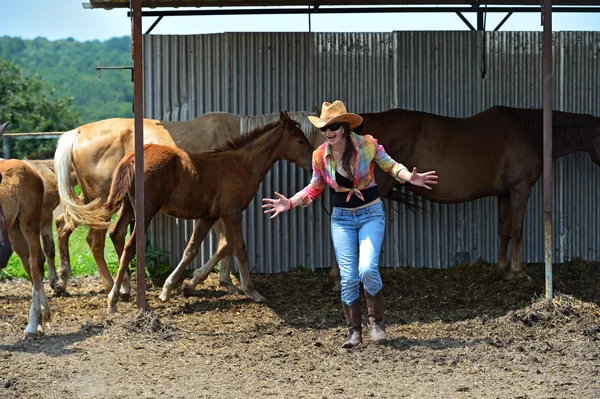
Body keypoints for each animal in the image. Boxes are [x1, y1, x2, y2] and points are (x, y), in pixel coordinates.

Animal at [0, 158, 50, 340]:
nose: (4, 251)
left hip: (29, 225)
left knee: (36, 264)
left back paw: (32, 326)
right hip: (15, 232)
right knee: (30, 265)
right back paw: (42, 320)